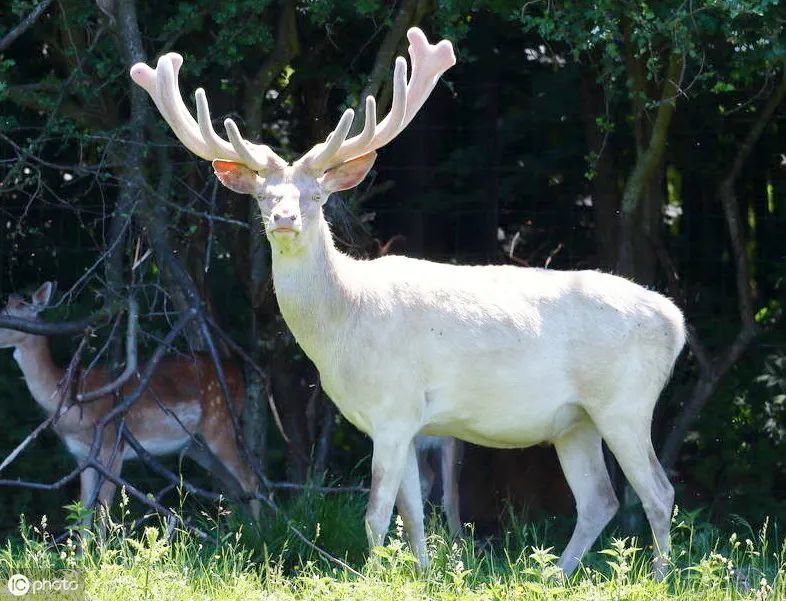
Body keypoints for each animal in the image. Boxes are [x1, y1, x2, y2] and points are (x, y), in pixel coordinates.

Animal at [0, 284, 258, 524]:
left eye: (10, 319)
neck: (73, 403)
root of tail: (237, 370)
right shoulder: (82, 455)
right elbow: (84, 512)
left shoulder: (113, 444)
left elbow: (103, 511)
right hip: (197, 445)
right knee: (233, 487)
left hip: (220, 422)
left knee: (250, 480)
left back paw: (259, 531)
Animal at [132, 28, 684, 576]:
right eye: (264, 197)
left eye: (317, 196)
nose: (285, 219)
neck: (343, 326)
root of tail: (675, 322)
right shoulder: (407, 421)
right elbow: (413, 516)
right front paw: (421, 574)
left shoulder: (394, 408)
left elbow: (377, 515)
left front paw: (371, 576)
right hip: (575, 420)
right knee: (598, 499)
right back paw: (554, 576)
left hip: (626, 402)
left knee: (658, 492)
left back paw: (656, 577)